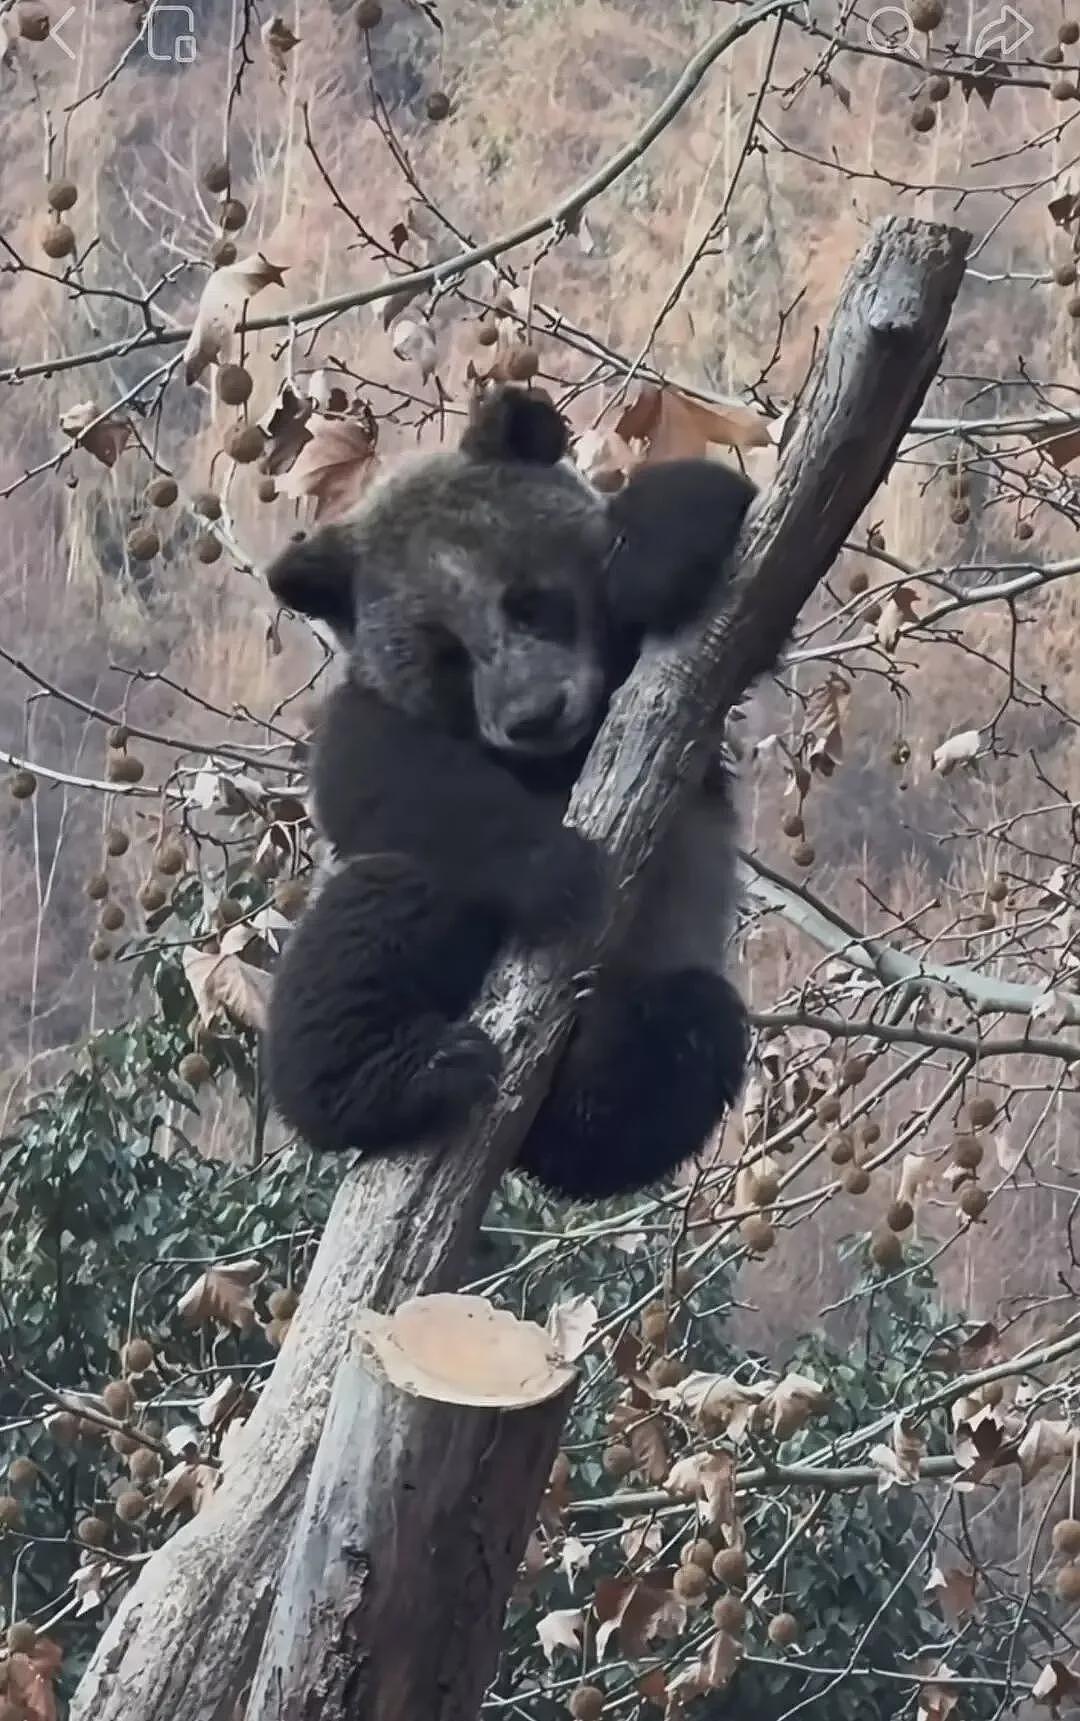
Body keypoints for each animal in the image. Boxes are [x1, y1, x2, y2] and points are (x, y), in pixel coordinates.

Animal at [263, 384, 757, 1200]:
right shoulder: (374, 712)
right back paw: (403, 1077)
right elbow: (378, 781)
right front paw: (557, 870)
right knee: (372, 929)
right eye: (447, 657)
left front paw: (650, 556)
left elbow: (711, 517)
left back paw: (598, 1074)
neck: (559, 760)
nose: (533, 716)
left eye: (531, 602)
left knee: (681, 1048)